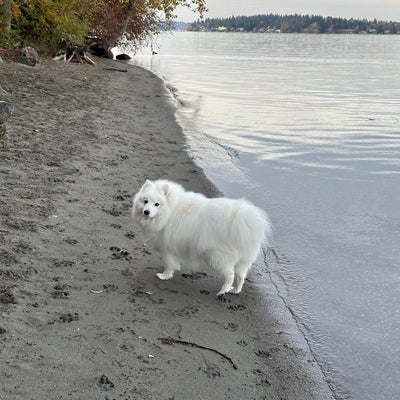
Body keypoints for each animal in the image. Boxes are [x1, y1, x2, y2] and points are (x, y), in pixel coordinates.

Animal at [131, 180, 272, 296]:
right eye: (145, 201)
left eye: (157, 204)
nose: (146, 212)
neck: (170, 210)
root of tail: (241, 221)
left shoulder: (167, 247)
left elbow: (169, 264)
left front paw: (164, 276)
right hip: (243, 261)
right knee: (240, 276)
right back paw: (235, 291)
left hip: (218, 257)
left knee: (230, 275)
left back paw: (223, 291)